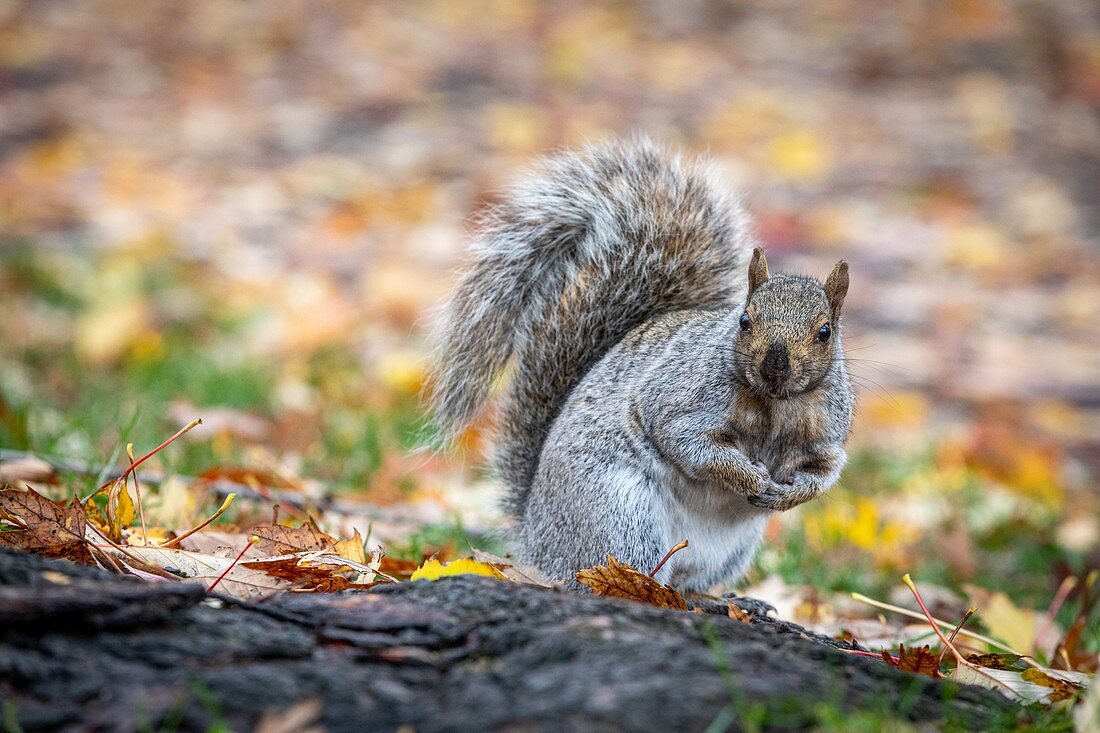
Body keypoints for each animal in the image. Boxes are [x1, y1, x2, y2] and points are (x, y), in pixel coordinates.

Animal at [424, 137, 853, 589]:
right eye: (745, 321)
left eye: (825, 332)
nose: (775, 368)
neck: (774, 405)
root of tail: (535, 537)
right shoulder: (679, 399)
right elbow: (690, 442)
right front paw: (748, 476)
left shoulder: (825, 435)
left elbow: (824, 474)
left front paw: (788, 494)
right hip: (621, 515)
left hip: (724, 552)